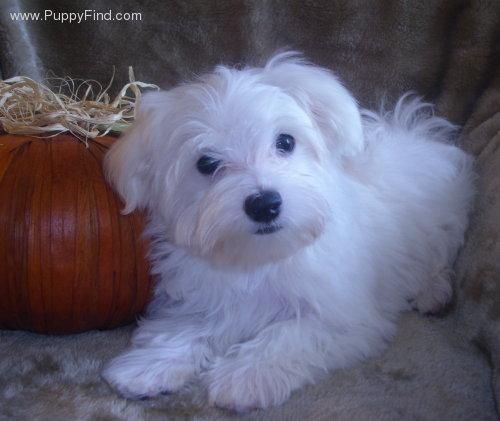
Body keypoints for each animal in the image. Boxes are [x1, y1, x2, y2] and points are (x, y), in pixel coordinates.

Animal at [102, 50, 476, 408]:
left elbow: (286, 337)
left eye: (285, 142)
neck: (263, 256)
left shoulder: (340, 316)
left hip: (442, 225)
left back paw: (433, 292)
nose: (265, 204)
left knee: (440, 258)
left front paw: (243, 379)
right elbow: (186, 328)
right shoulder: (205, 297)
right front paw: (148, 366)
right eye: (206, 163)